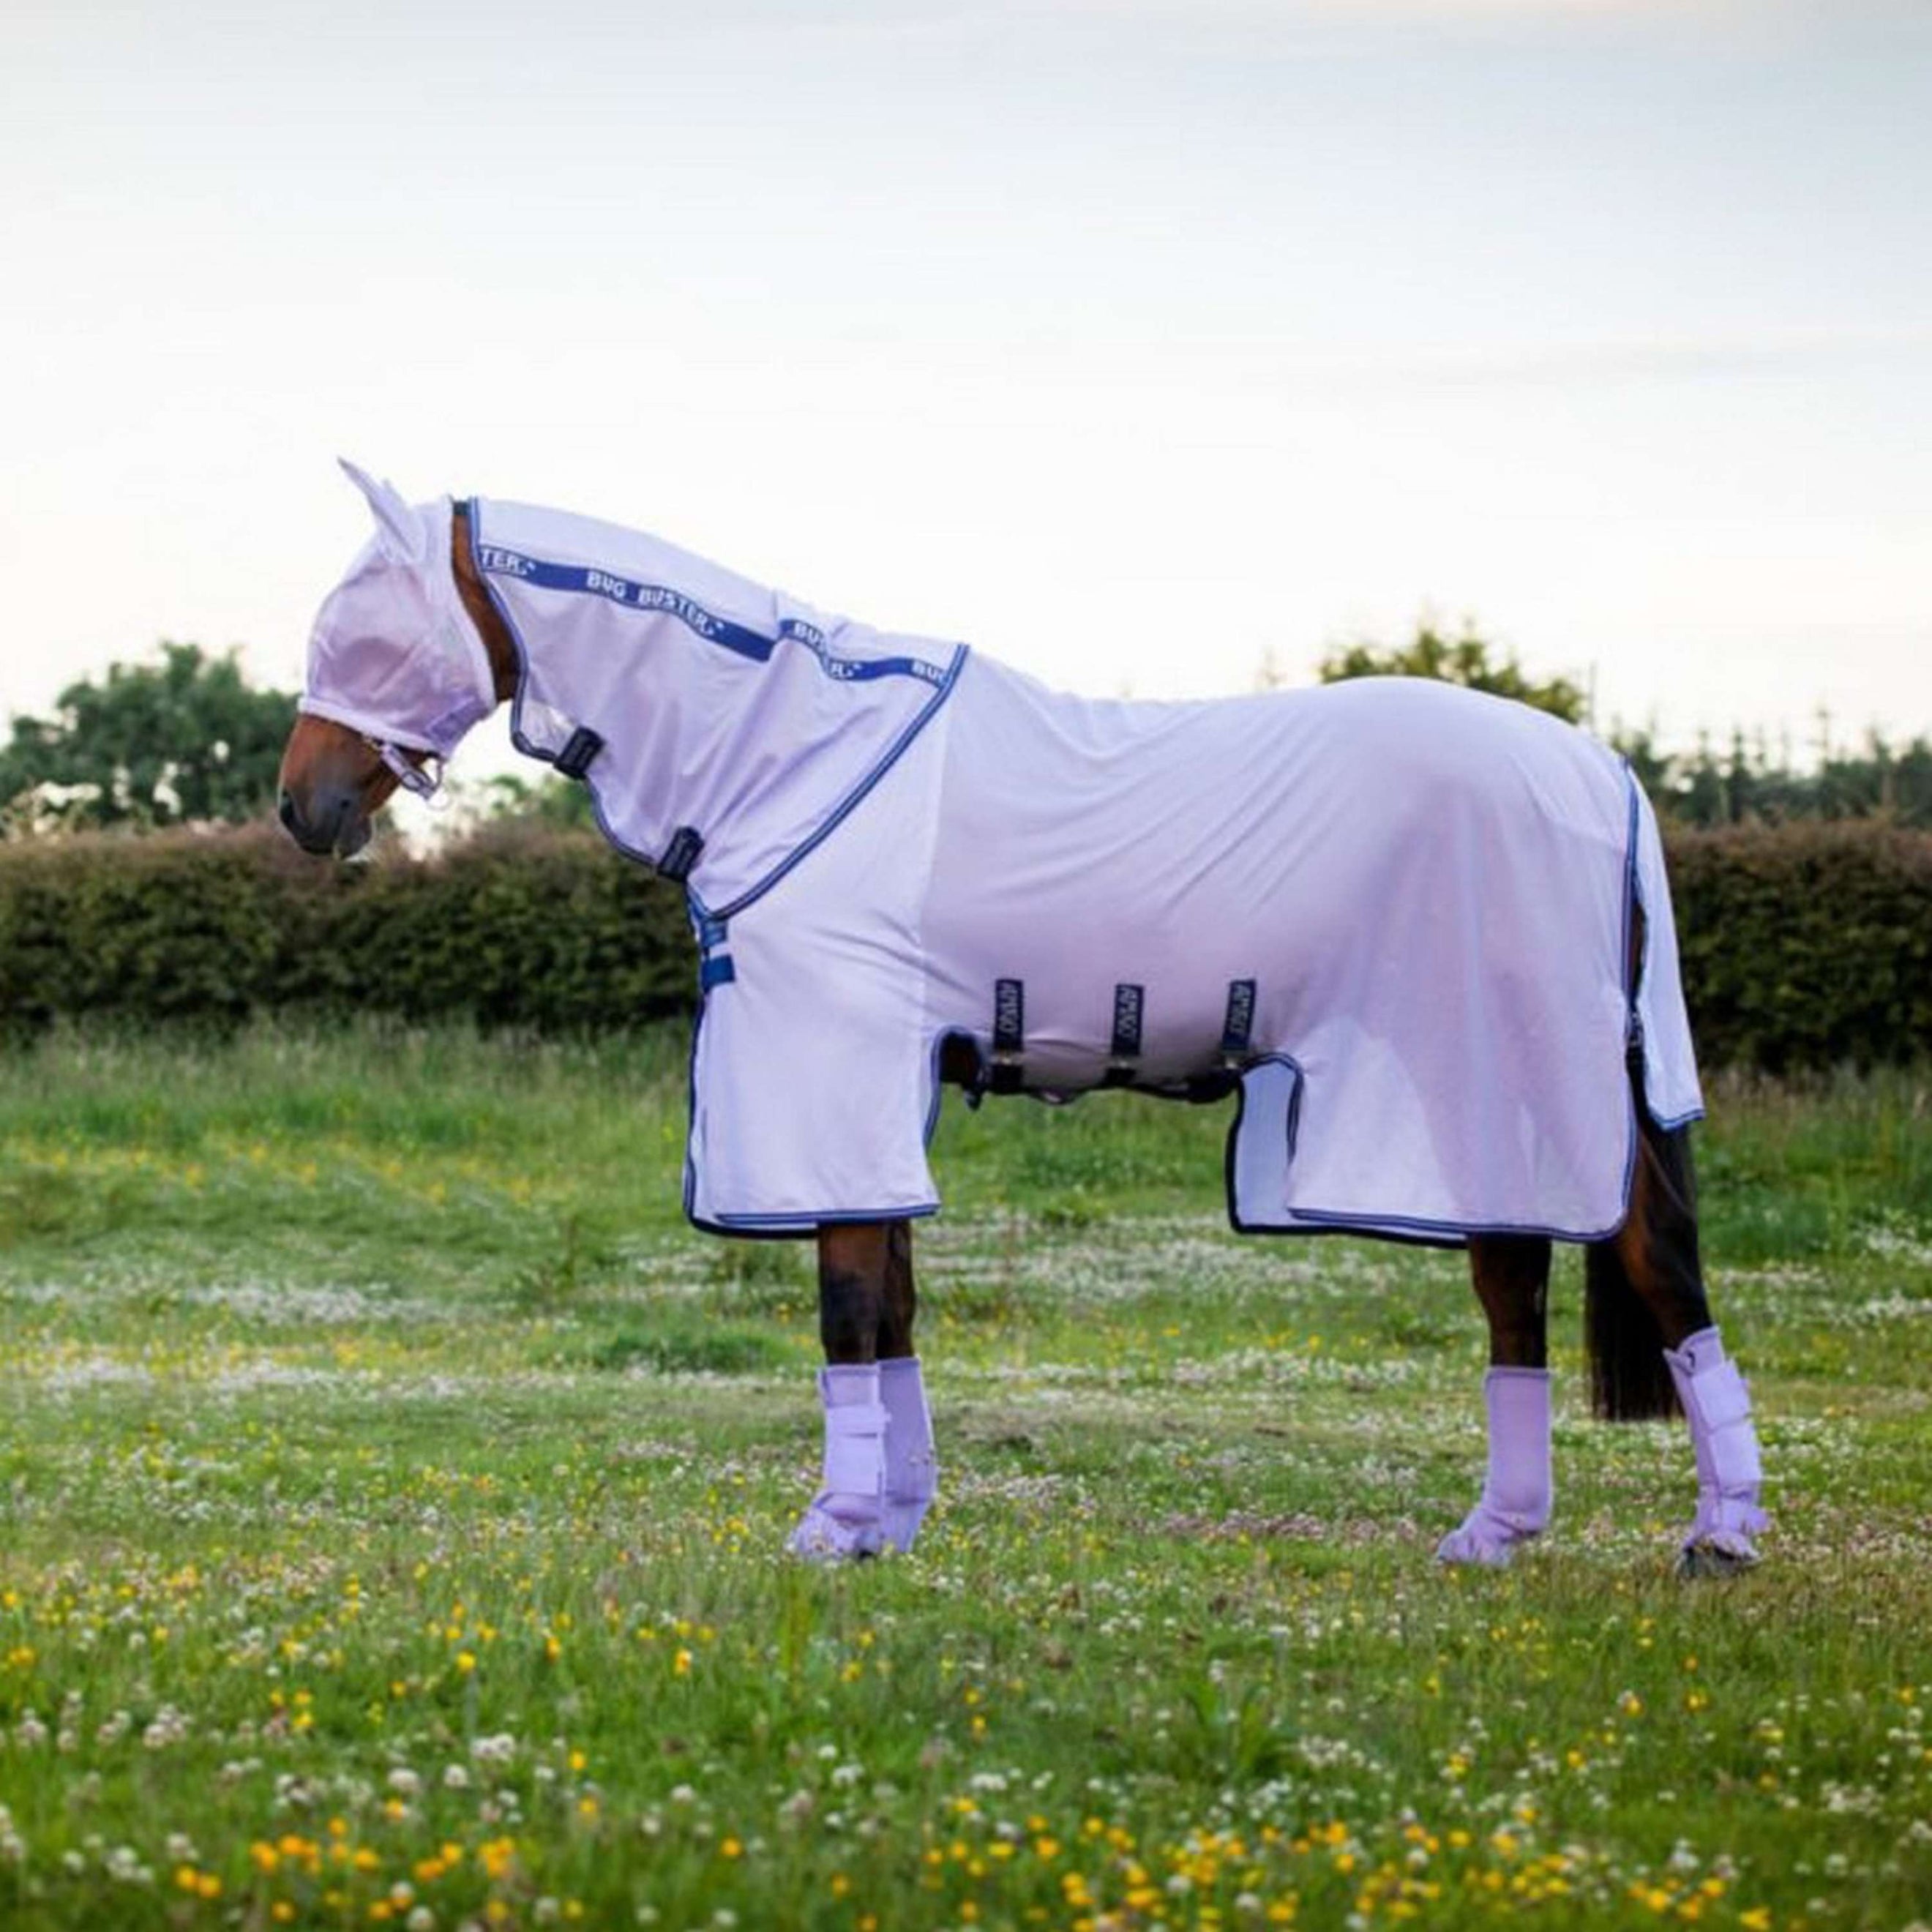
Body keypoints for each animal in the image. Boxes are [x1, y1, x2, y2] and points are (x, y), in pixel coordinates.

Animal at [280, 460, 1770, 1576]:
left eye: (363, 625)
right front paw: (891, 1521)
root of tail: (1604, 772)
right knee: (1516, 1291)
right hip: (1463, 1097)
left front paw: (831, 1526)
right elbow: (891, 1300)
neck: (791, 751)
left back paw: (1721, 1537)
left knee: (1653, 1271)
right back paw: (1497, 1535)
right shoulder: (888, 1077)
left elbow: (846, 1307)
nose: (305, 810)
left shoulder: (829, 1069)